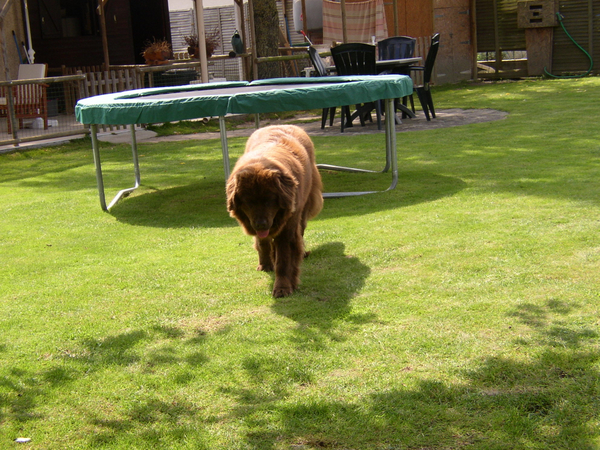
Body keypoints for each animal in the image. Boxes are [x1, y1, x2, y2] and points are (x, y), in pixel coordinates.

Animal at [226, 125, 323, 298]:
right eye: (248, 202)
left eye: (269, 200)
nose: (260, 224)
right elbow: (263, 243)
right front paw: (265, 264)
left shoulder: (287, 228)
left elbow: (284, 260)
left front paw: (282, 287)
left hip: (303, 209)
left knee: (300, 231)